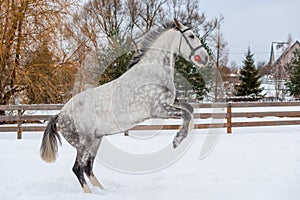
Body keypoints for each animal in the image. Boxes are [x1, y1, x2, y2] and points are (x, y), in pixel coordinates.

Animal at [39, 18, 209, 192]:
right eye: (191, 35)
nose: (205, 58)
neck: (153, 70)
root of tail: (60, 115)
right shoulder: (158, 109)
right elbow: (187, 113)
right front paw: (177, 140)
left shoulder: (170, 103)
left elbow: (190, 109)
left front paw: (182, 135)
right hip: (83, 143)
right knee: (78, 168)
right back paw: (90, 193)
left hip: (95, 141)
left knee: (88, 167)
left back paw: (103, 191)